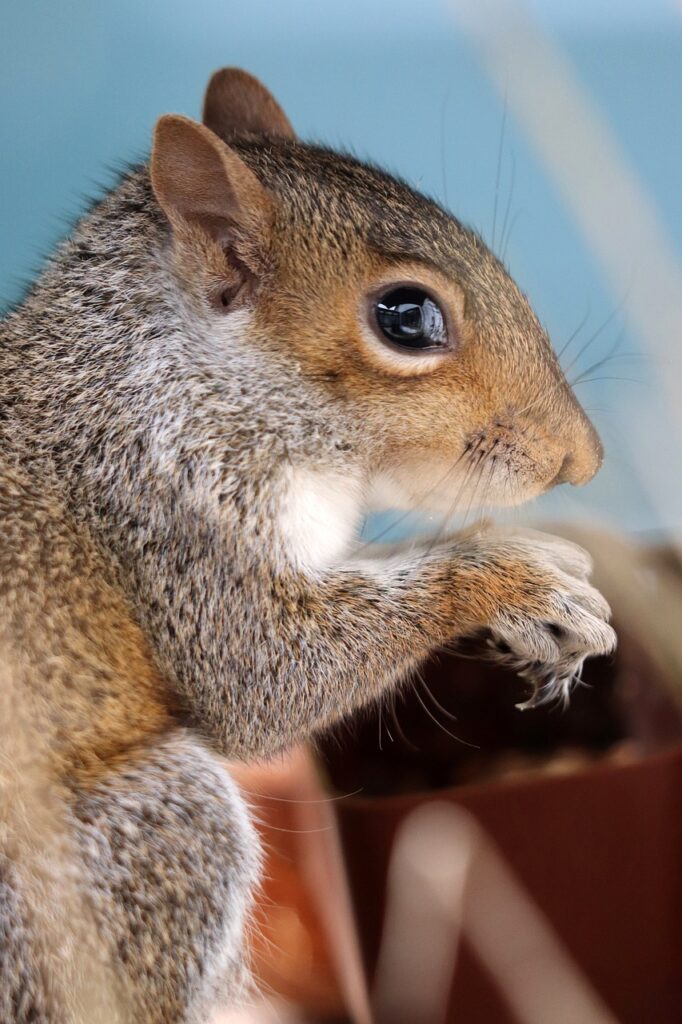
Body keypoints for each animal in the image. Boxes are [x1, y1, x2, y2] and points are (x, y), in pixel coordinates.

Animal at [0, 67, 616, 1022]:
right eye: (405, 317)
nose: (582, 461)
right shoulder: (169, 517)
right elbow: (269, 677)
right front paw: (517, 578)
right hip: (139, 854)